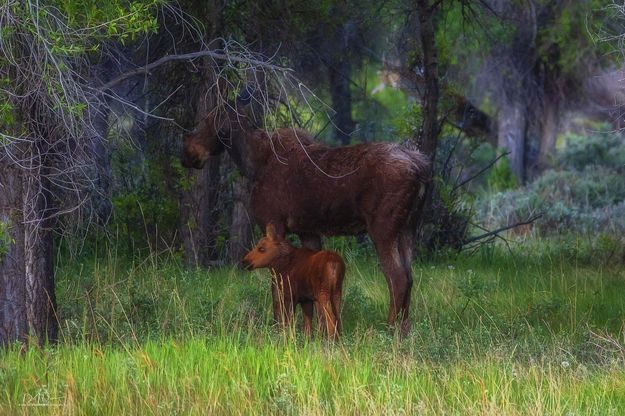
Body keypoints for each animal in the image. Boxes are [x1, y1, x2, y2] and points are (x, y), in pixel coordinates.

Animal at [182, 92, 428, 334]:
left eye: (205, 120)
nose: (187, 154)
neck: (252, 164)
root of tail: (420, 169)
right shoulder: (308, 230)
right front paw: (319, 331)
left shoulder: (274, 222)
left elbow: (276, 284)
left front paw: (279, 326)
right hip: (408, 227)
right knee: (409, 276)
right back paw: (405, 329)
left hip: (383, 227)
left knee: (397, 277)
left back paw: (389, 329)